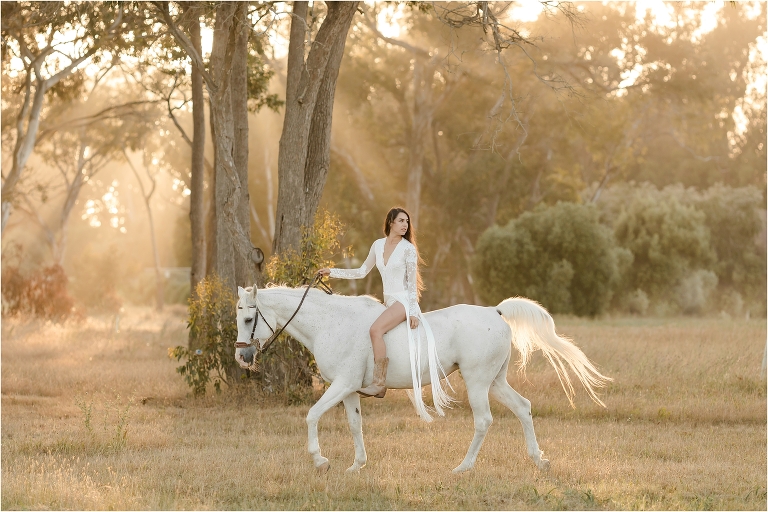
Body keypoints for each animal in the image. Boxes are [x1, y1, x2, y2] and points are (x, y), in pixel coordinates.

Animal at [234, 284, 610, 474]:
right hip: (495, 382)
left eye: (249, 318)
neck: (330, 322)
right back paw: (538, 460)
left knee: (484, 420)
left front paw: (320, 460)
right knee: (523, 407)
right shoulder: (349, 389)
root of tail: (495, 311)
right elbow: (355, 425)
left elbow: (311, 415)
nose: (242, 357)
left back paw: (463, 467)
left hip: (477, 382)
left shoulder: (340, 386)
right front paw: (357, 466)